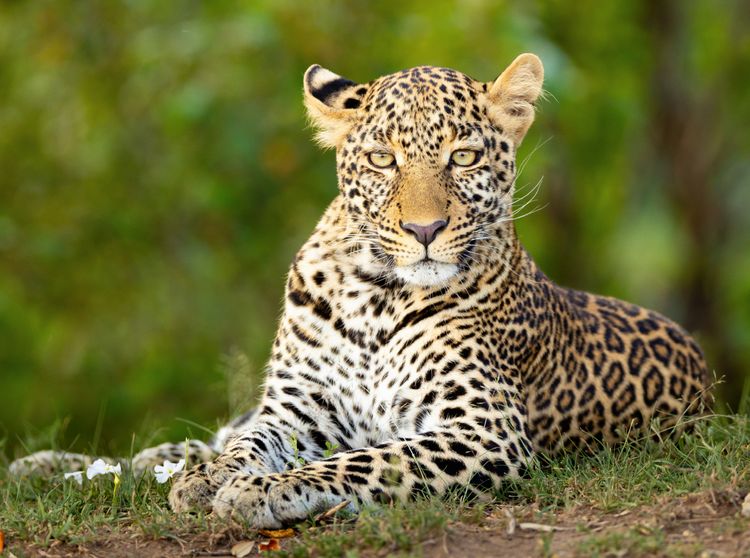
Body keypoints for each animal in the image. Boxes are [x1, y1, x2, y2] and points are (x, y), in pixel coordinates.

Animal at [11, 54, 710, 529]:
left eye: (463, 158)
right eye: (381, 159)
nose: (424, 230)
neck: (377, 297)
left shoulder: (482, 430)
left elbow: (366, 462)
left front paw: (260, 491)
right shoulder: (297, 407)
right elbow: (246, 444)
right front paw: (216, 479)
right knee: (194, 439)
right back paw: (50, 466)